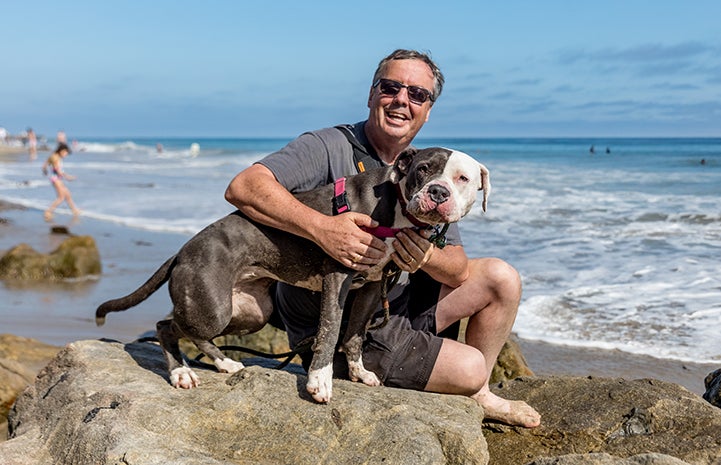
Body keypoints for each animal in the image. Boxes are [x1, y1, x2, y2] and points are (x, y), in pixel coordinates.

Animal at [95, 147, 490, 400]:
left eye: (462, 178)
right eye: (423, 169)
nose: (438, 191)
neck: (395, 211)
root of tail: (181, 251)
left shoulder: (370, 287)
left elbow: (354, 335)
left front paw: (359, 373)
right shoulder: (338, 275)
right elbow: (329, 332)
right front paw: (319, 382)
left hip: (250, 311)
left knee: (191, 331)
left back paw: (225, 364)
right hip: (212, 307)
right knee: (167, 326)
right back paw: (181, 372)